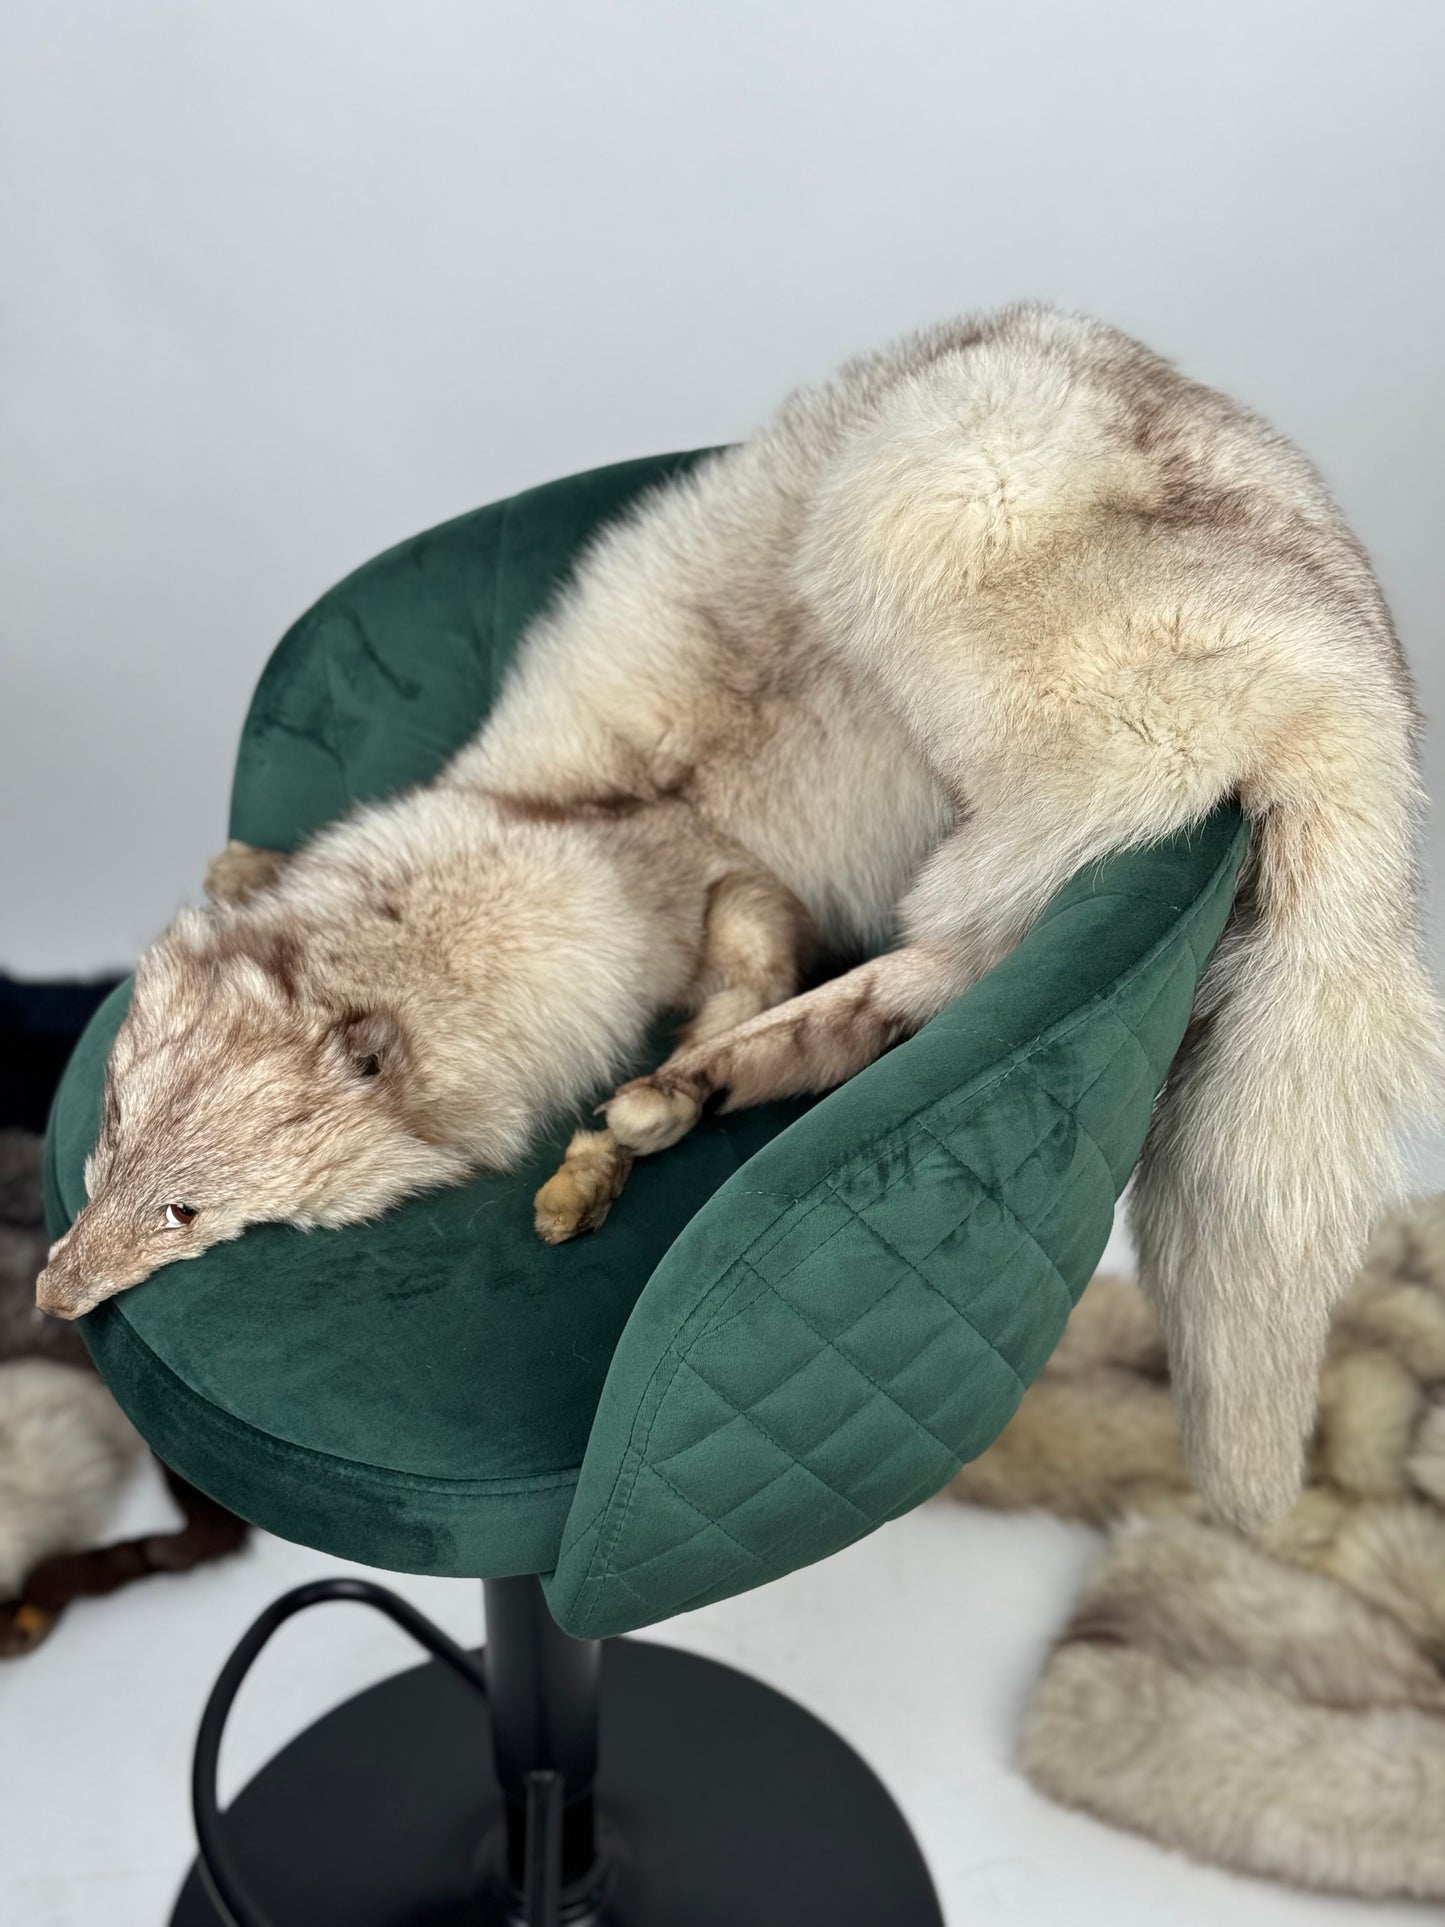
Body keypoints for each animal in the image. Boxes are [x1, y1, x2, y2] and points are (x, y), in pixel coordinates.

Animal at [36, 304, 1442, 1529]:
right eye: (110, 1136)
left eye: (186, 1214)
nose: (52, 1292)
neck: (594, 830)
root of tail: (1353, 656)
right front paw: (246, 862)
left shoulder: (735, 889)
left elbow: (749, 968)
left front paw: (624, 1135)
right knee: (924, 984)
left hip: (947, 572)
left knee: (948, 961)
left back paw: (676, 1095)